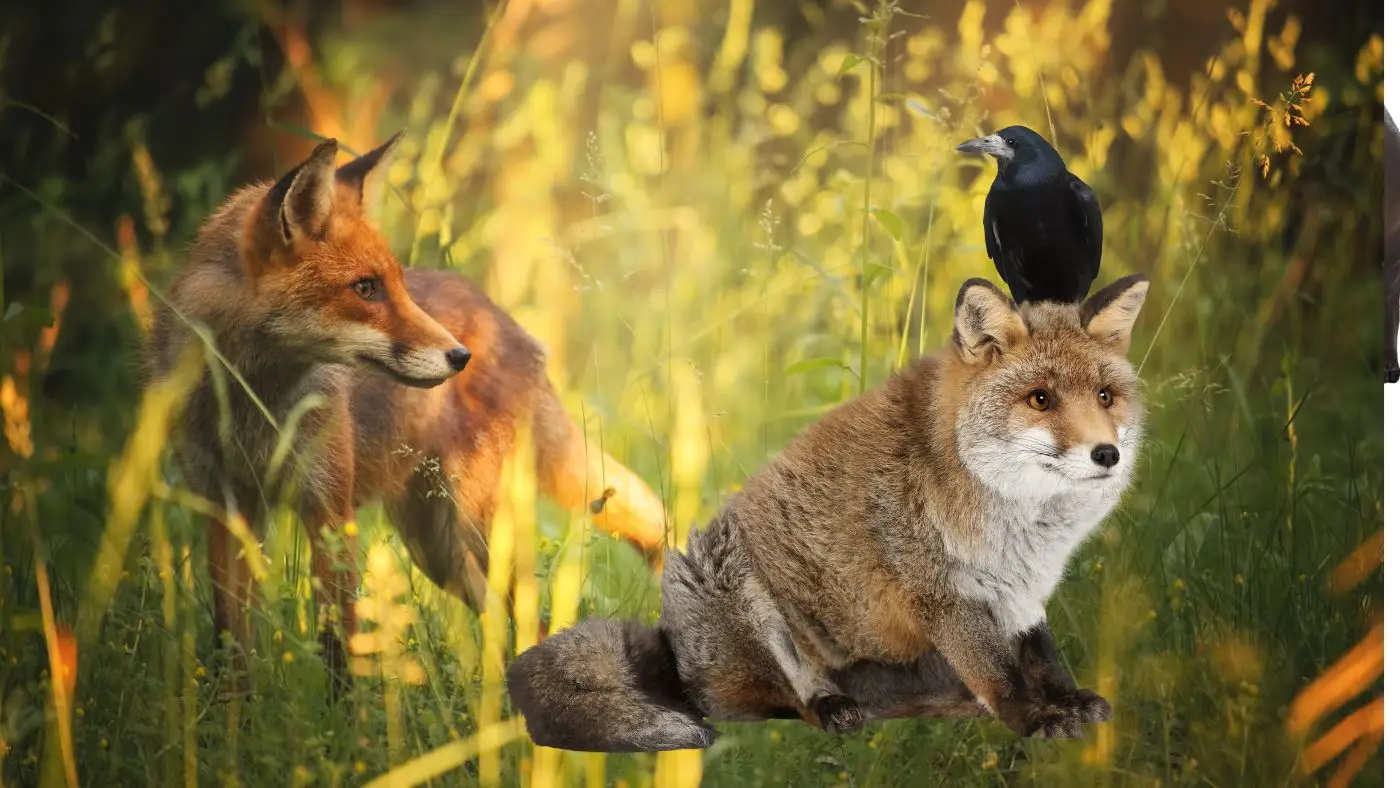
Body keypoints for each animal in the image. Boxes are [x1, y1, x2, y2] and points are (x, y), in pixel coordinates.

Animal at [143, 132, 669, 690]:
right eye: (365, 287)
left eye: (397, 283)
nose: (460, 356)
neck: (253, 404)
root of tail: (507, 322)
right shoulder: (224, 505)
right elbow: (230, 640)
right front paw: (233, 712)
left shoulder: (330, 510)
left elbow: (339, 645)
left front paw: (343, 715)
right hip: (441, 552)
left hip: (477, 537)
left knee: (535, 620)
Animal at [507, 273, 1150, 750]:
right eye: (1040, 399)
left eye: (1105, 397)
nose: (1107, 454)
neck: (1021, 523)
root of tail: (674, 647)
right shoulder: (944, 595)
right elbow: (1003, 676)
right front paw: (1036, 720)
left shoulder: (1021, 592)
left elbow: (1042, 658)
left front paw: (1066, 700)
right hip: (727, 579)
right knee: (778, 703)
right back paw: (831, 708)